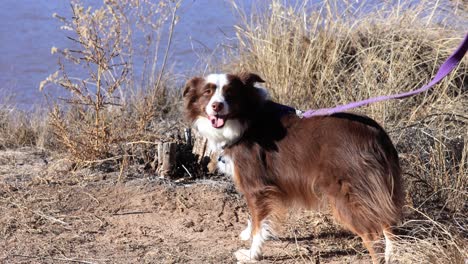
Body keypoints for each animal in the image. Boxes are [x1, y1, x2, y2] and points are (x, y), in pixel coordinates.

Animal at [185, 72, 404, 264]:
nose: (217, 105)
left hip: (349, 194)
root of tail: (376, 136)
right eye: (207, 92)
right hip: (379, 188)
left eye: (230, 93)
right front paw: (248, 233)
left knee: (371, 233)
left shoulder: (256, 186)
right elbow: (255, 218)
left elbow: (259, 222)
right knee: (388, 223)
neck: (245, 121)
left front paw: (252, 253)